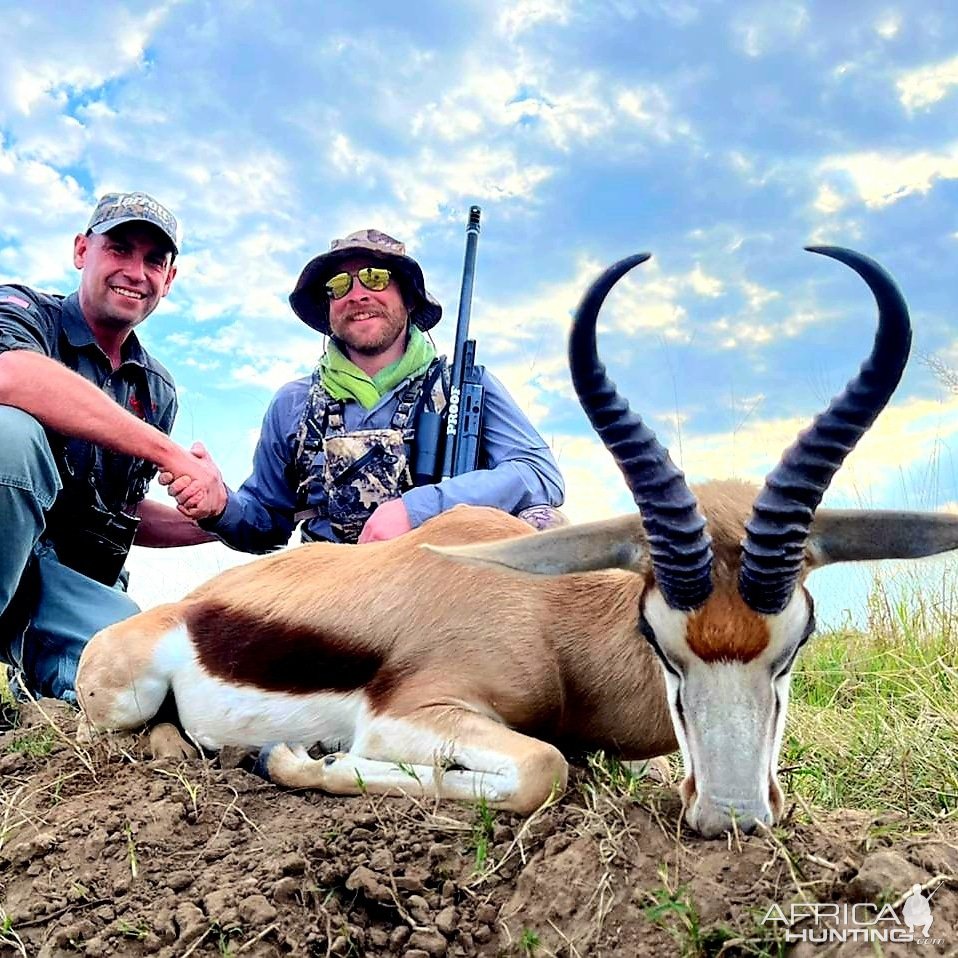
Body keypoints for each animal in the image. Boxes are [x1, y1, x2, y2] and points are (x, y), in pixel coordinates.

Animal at [79, 249, 958, 840]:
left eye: (797, 640)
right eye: (658, 640)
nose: (733, 816)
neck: (548, 621)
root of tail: (188, 608)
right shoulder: (413, 714)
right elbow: (544, 766)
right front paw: (300, 760)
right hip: (116, 702)